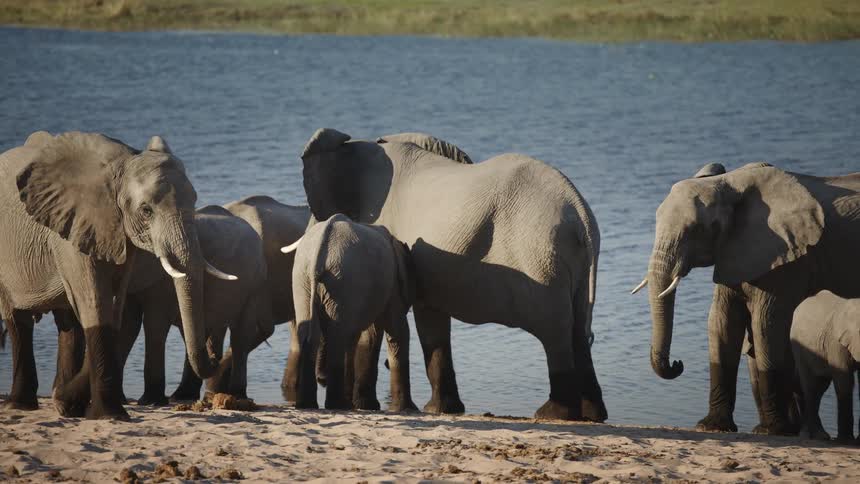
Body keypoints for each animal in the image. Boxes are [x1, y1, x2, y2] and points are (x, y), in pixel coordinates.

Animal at [0, 131, 230, 419]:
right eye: (146, 211)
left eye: (195, 201)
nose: (216, 357)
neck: (123, 163)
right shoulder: (70, 231)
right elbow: (95, 304)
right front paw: (109, 414)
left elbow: (115, 309)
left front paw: (67, 401)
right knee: (17, 320)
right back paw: (20, 405)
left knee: (68, 325)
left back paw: (66, 408)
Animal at [115, 205, 267, 404]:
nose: (214, 360)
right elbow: (128, 325)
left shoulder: (161, 281)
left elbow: (154, 324)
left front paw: (149, 401)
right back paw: (182, 395)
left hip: (254, 286)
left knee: (240, 336)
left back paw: (236, 395)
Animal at [288, 213, 417, 412]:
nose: (322, 379)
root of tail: (320, 251)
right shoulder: (392, 285)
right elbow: (394, 331)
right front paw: (407, 408)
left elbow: (362, 336)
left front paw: (363, 405)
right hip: (342, 279)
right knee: (337, 338)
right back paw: (337, 405)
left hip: (304, 280)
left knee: (315, 335)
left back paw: (307, 405)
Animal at [791, 290, 860, 444]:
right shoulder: (836, 343)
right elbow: (844, 382)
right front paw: (846, 441)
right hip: (799, 347)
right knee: (810, 386)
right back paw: (812, 435)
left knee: (820, 388)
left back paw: (817, 435)